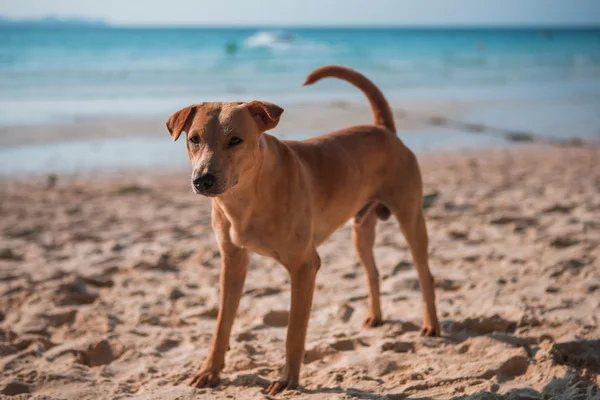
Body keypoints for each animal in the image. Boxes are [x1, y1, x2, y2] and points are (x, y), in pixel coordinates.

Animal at [166, 65, 438, 394]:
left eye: (235, 140)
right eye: (194, 139)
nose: (202, 180)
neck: (248, 196)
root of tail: (383, 129)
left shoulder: (305, 266)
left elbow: (294, 331)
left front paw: (288, 380)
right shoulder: (232, 263)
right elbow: (222, 325)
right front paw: (210, 370)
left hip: (410, 219)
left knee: (424, 273)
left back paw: (431, 325)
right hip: (360, 230)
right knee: (372, 271)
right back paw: (375, 316)